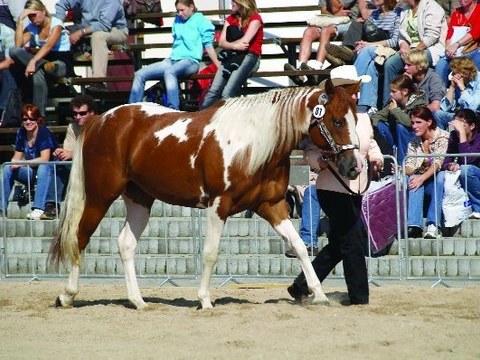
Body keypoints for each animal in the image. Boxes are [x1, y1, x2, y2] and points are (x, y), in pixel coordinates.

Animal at [49, 79, 360, 310]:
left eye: (355, 119)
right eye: (336, 121)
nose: (353, 167)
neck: (253, 144)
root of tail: (101, 120)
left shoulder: (271, 206)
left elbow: (298, 246)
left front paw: (319, 294)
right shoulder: (218, 205)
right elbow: (210, 253)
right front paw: (205, 300)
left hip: (139, 198)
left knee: (125, 244)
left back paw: (138, 301)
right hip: (100, 195)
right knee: (80, 236)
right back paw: (66, 295)